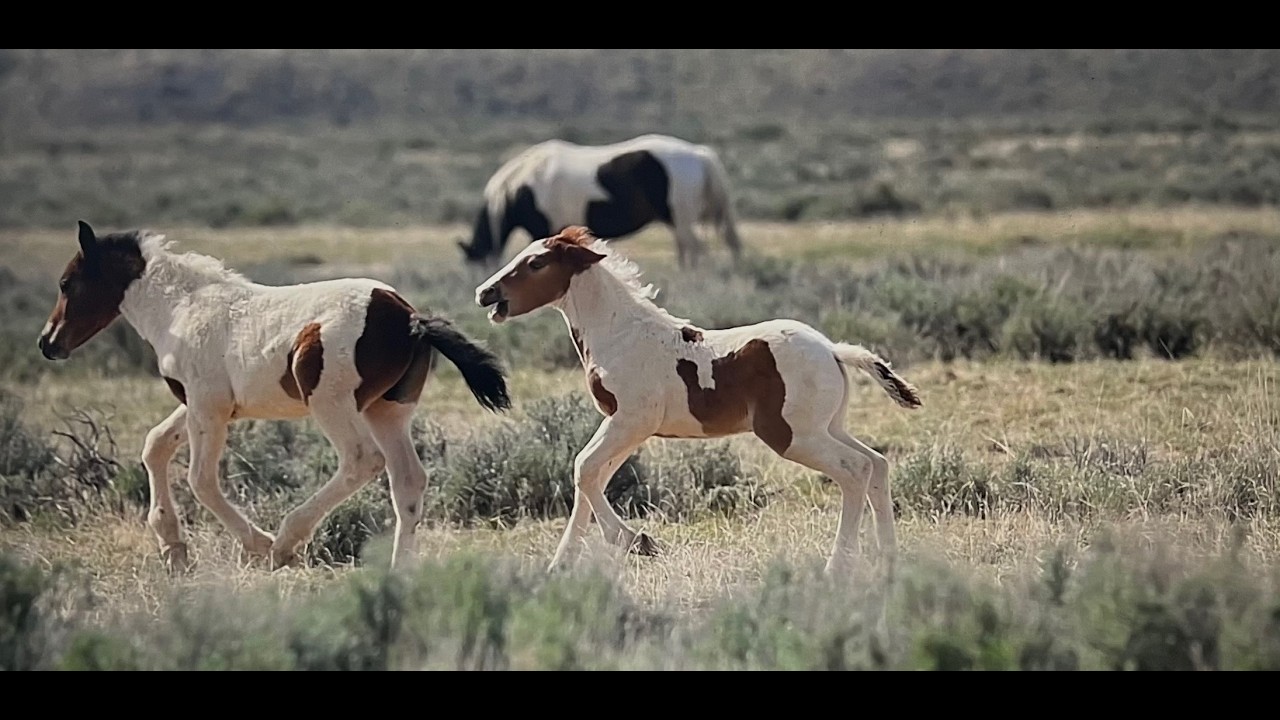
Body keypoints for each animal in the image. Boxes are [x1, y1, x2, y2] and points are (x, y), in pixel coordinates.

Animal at [37, 221, 512, 573]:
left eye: (67, 283)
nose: (47, 343)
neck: (180, 309)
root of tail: (410, 318)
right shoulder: (202, 405)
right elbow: (155, 445)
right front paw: (173, 548)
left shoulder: (208, 406)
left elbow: (200, 479)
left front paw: (256, 545)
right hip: (387, 409)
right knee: (408, 479)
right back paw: (398, 569)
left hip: (333, 403)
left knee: (362, 460)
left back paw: (285, 542)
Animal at [457, 133, 743, 269]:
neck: (521, 185)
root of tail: (699, 154)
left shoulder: (543, 231)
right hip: (678, 220)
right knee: (687, 250)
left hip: (682, 218)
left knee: (695, 250)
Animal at [473, 226, 922, 576]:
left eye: (536, 263)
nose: (484, 292)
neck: (621, 333)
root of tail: (833, 350)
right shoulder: (627, 427)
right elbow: (591, 475)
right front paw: (561, 565)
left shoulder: (631, 420)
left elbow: (584, 468)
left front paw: (638, 541)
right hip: (828, 427)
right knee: (877, 464)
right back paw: (889, 558)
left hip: (792, 435)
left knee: (855, 470)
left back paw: (838, 566)